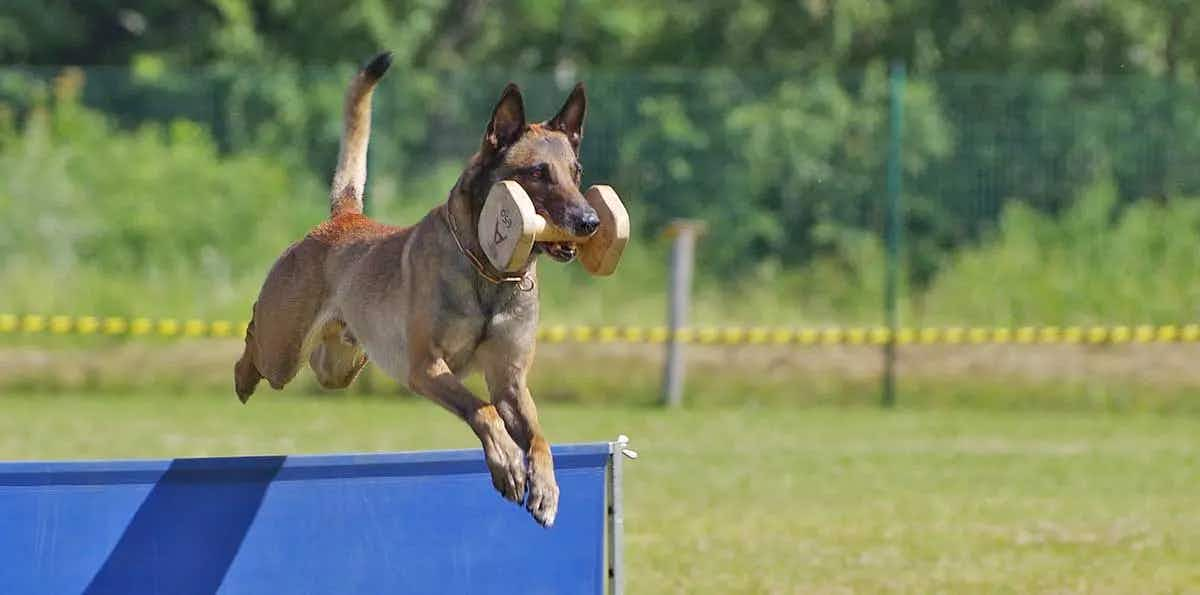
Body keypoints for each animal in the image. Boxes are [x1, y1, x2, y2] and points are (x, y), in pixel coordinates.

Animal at [232, 50, 600, 525]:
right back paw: (243, 376)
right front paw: (507, 464)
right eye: (538, 172)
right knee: (256, 340)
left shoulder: (510, 382)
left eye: (576, 173)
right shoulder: (426, 368)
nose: (590, 222)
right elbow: (482, 410)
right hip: (283, 351)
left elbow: (537, 437)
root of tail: (345, 216)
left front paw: (546, 489)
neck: (489, 273)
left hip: (340, 365)